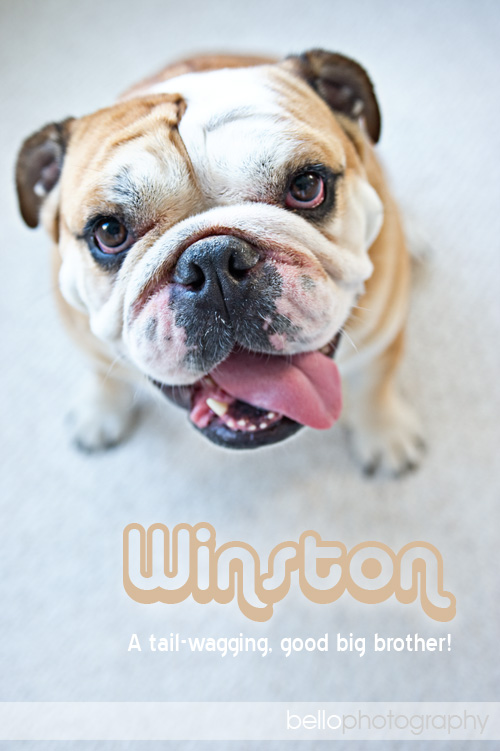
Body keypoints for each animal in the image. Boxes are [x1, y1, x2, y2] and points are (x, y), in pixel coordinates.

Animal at [15, 49, 424, 475]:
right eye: (109, 232)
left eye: (307, 186)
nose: (213, 260)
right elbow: (102, 373)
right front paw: (99, 411)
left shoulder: (385, 331)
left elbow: (376, 381)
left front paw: (384, 432)